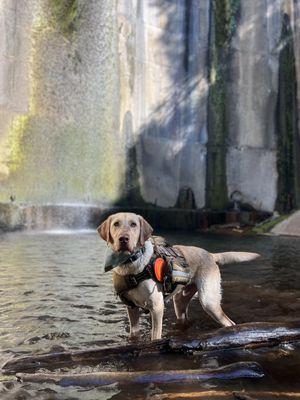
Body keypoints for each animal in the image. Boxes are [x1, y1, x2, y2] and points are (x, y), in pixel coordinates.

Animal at [97, 212, 258, 340]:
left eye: (133, 224)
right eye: (116, 224)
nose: (123, 239)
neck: (131, 266)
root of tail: (210, 254)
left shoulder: (157, 306)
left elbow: (155, 336)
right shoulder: (131, 308)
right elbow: (134, 333)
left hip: (209, 301)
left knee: (229, 322)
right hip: (180, 302)